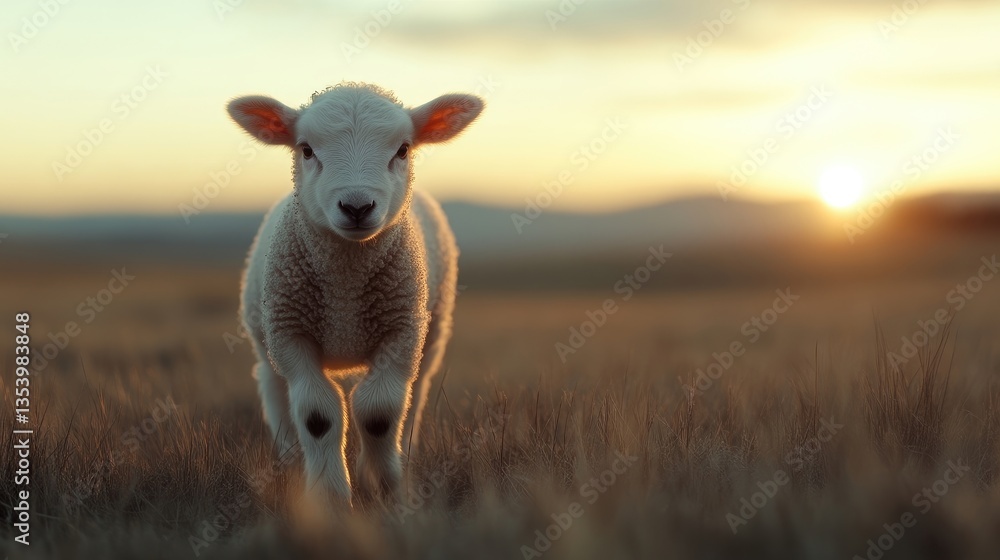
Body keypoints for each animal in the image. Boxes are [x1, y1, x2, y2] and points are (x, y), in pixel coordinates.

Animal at [227, 83, 483, 509]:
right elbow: (317, 415)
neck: (345, 284)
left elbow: (379, 411)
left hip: (431, 337)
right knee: (275, 391)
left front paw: (384, 487)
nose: (357, 206)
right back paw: (290, 462)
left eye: (403, 150)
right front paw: (329, 496)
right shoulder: (291, 335)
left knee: (414, 396)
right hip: (267, 343)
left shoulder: (401, 332)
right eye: (306, 149)